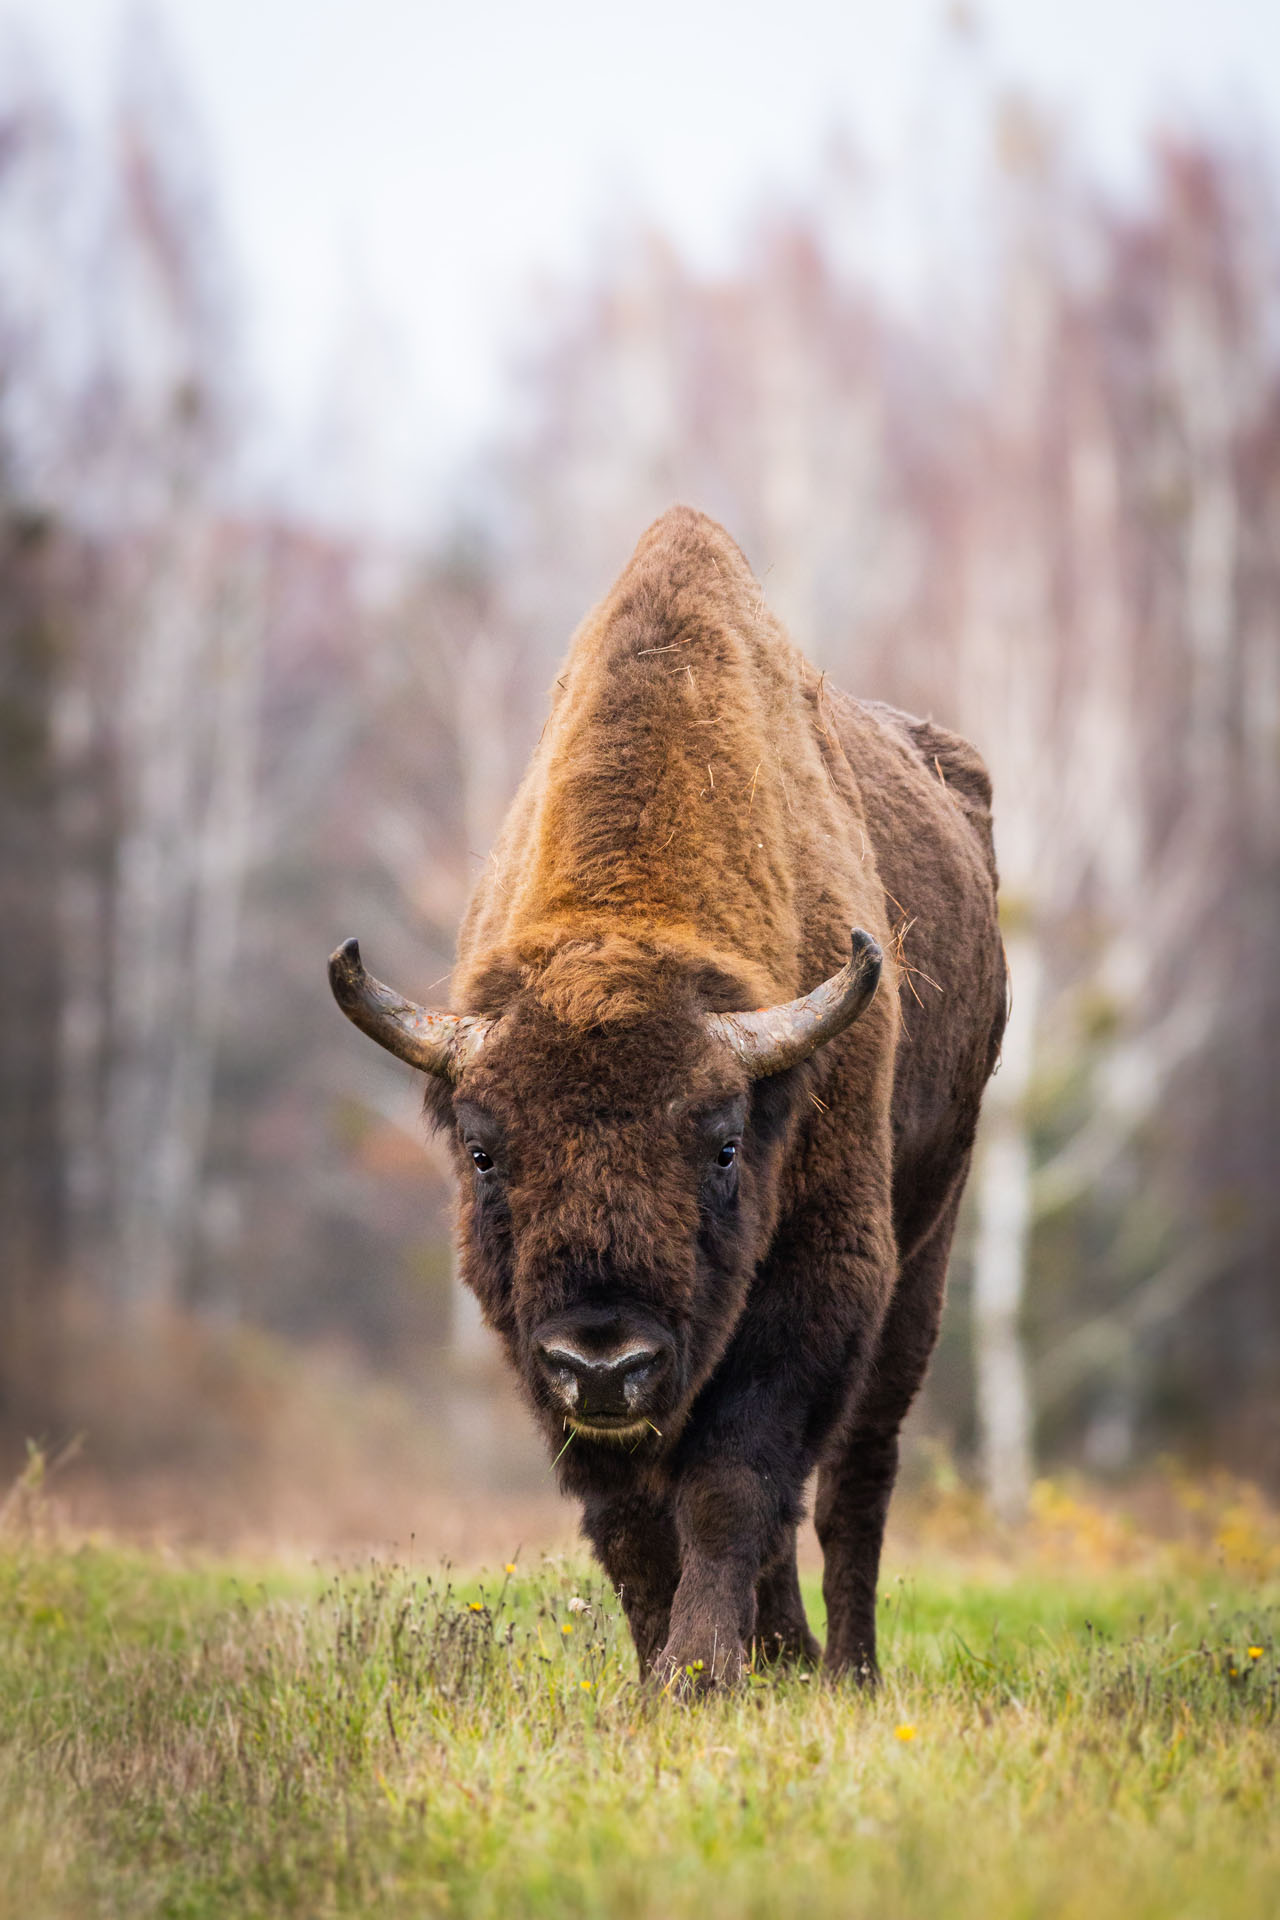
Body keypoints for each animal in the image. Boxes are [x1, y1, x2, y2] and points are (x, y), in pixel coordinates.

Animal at [333, 503, 1013, 1689]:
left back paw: (843, 1669)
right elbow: (631, 1519)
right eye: (482, 1149)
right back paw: (785, 1655)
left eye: (723, 1143)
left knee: (855, 1479)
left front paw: (698, 1680)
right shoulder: (528, 1329)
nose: (604, 1362)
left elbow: (732, 1484)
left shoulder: (819, 1276)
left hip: (928, 1244)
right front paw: (669, 1672)